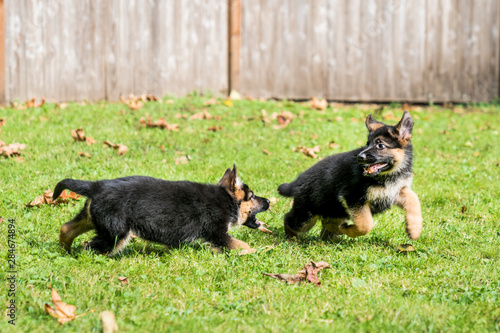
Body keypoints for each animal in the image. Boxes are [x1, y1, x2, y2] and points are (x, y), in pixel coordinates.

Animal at [54, 165, 270, 253]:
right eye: (252, 196)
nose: (268, 201)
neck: (226, 200)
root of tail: (97, 186)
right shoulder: (217, 233)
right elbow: (242, 245)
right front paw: (261, 250)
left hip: (94, 219)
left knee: (66, 228)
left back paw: (65, 251)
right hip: (115, 233)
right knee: (89, 248)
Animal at [278, 110, 422, 240]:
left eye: (380, 145)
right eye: (367, 144)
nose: (360, 157)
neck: (388, 175)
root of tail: (297, 181)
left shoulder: (395, 191)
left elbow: (414, 199)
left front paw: (414, 229)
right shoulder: (354, 197)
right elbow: (365, 224)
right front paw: (349, 230)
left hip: (334, 211)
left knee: (326, 227)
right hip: (307, 215)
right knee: (289, 219)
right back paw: (292, 238)